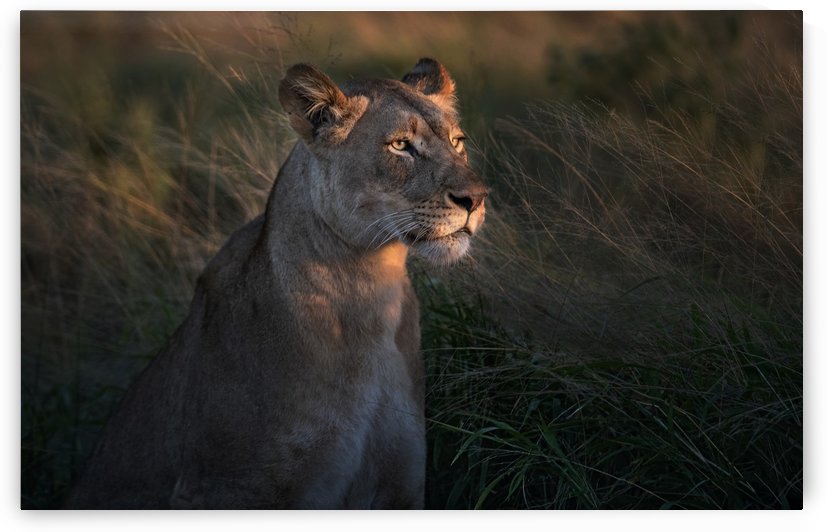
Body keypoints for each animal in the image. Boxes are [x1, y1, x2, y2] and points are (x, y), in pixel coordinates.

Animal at [65, 58, 488, 509]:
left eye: (457, 141)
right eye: (400, 145)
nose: (477, 198)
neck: (371, 288)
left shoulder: (401, 482)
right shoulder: (227, 488)